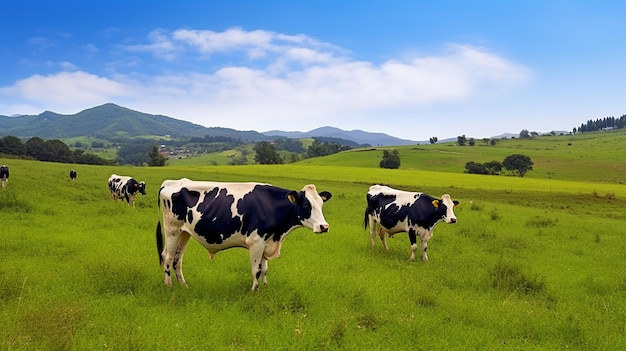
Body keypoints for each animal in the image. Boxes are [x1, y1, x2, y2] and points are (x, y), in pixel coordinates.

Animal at [155, 179, 332, 292]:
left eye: (321, 204)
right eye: (305, 204)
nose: (324, 227)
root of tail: (169, 182)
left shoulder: (266, 241)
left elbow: (265, 269)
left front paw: (265, 288)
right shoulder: (256, 241)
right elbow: (256, 270)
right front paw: (255, 291)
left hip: (184, 233)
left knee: (177, 259)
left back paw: (183, 286)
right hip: (172, 230)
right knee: (167, 256)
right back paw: (169, 286)